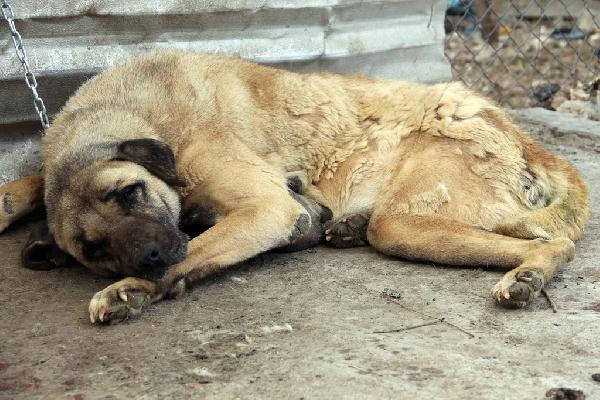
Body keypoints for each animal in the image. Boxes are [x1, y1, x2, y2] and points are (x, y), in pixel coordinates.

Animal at [0, 50, 592, 324]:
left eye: (130, 193)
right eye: (92, 247)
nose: (146, 256)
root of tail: (506, 122)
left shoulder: (267, 209)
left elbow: (195, 249)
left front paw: (134, 289)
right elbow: (33, 181)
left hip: (407, 220)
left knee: (554, 242)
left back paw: (528, 276)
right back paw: (348, 225)